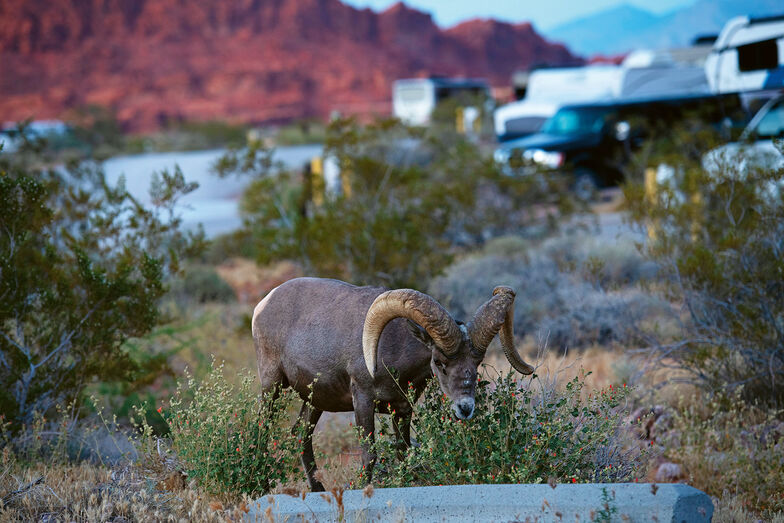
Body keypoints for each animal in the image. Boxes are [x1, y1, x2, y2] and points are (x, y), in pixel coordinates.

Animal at [253, 276, 532, 494]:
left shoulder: (402, 409)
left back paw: (317, 489)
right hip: (272, 385)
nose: (465, 408)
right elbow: (370, 455)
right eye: (439, 361)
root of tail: (263, 305)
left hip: (315, 401)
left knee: (302, 434)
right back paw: (261, 487)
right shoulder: (363, 401)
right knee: (262, 429)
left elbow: (403, 452)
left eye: (477, 362)